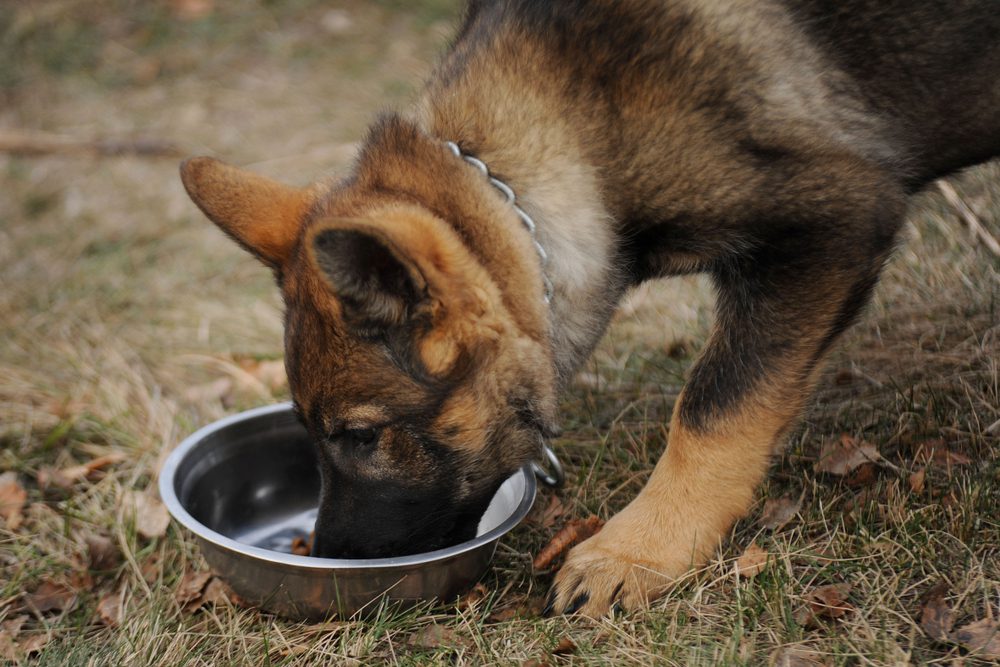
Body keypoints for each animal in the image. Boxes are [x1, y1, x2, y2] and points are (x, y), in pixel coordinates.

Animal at [180, 1, 1000, 616]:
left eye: (359, 436)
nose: (331, 560)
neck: (574, 131)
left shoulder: (836, 219)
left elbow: (716, 403)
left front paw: (640, 547)